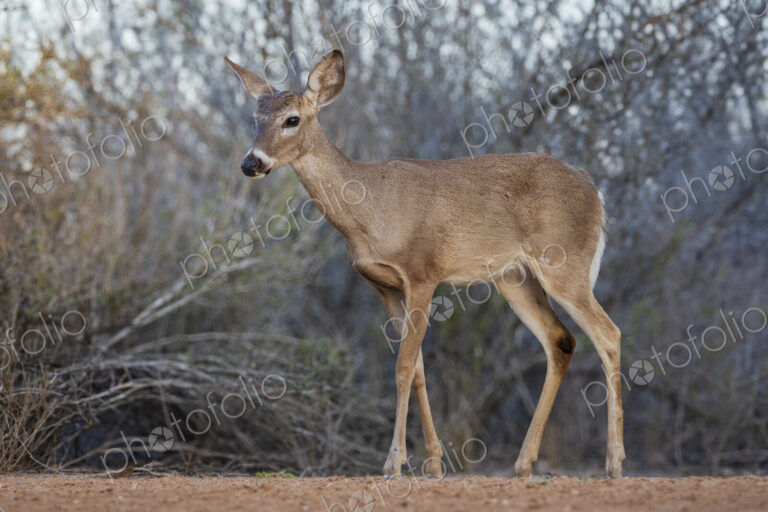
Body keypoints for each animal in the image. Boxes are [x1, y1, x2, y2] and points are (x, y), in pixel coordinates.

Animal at [225, 49, 625, 479]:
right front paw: (433, 462)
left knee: (608, 334)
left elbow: (402, 367)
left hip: (563, 264)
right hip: (514, 277)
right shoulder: (385, 286)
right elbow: (416, 369)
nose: (251, 163)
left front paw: (393, 461)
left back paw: (614, 462)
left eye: (292, 119)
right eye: (255, 117)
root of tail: (596, 192)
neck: (369, 208)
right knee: (560, 340)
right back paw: (523, 463)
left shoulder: (422, 273)